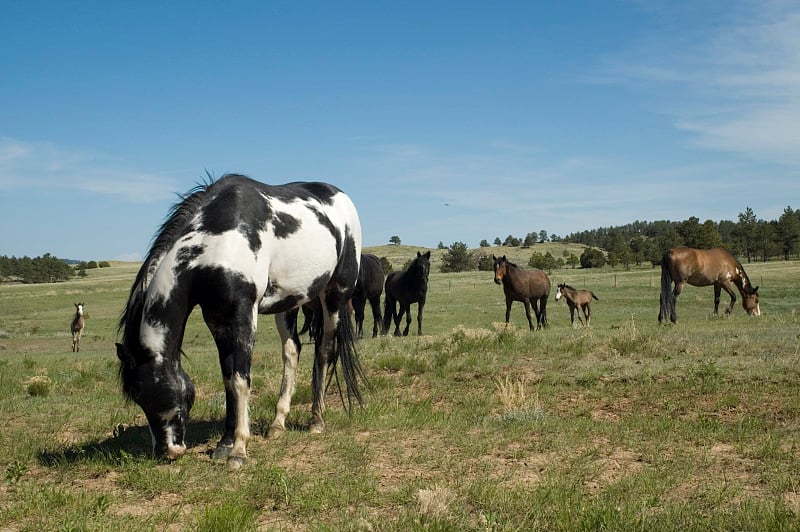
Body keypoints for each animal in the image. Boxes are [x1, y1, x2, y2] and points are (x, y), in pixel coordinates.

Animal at [115, 174, 366, 466]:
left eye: (146, 392)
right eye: (138, 398)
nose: (167, 451)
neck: (216, 240)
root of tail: (341, 197)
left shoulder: (243, 314)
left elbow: (240, 379)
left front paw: (238, 450)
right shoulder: (216, 318)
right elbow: (228, 380)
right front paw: (224, 443)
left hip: (335, 295)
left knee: (325, 352)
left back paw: (317, 420)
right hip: (289, 302)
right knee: (292, 351)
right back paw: (277, 423)